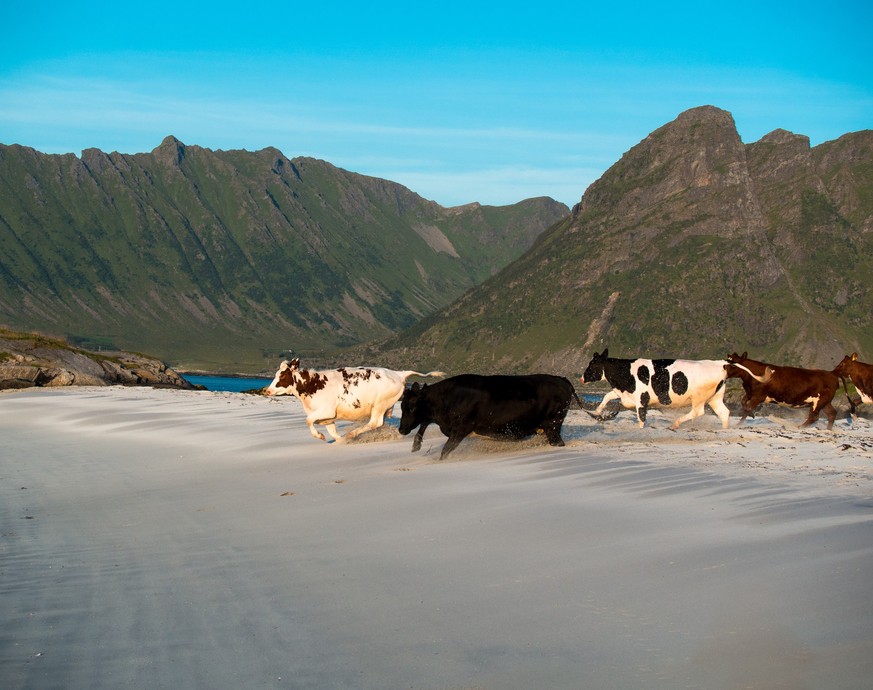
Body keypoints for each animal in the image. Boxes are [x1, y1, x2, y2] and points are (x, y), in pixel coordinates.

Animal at [264, 358, 444, 442]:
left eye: (282, 376)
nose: (268, 390)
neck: (312, 385)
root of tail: (398, 373)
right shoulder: (329, 416)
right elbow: (332, 431)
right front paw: (340, 441)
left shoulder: (326, 410)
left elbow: (308, 420)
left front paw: (320, 436)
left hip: (380, 404)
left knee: (375, 422)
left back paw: (353, 433)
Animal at [397, 373, 579, 460]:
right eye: (401, 406)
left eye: (412, 408)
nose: (401, 429)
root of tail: (562, 380)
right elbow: (425, 422)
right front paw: (415, 445)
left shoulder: (461, 428)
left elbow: (445, 450)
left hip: (552, 424)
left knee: (557, 442)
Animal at [579, 349, 771, 430]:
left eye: (592, 364)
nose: (581, 378)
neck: (625, 373)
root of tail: (720, 363)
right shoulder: (623, 393)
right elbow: (606, 396)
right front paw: (597, 412)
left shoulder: (642, 399)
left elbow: (641, 418)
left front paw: (640, 431)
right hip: (715, 397)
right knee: (724, 412)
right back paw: (723, 431)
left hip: (699, 397)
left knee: (698, 412)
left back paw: (676, 423)